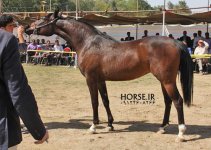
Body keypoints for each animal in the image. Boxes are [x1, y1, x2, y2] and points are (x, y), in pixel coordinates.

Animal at [25, 9, 194, 142]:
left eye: (42, 19)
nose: (26, 28)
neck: (88, 43)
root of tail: (176, 43)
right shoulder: (100, 80)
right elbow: (105, 101)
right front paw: (110, 125)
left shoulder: (91, 79)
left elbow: (94, 102)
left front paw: (93, 126)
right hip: (163, 80)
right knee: (168, 101)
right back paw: (162, 127)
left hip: (167, 80)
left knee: (178, 101)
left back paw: (181, 133)